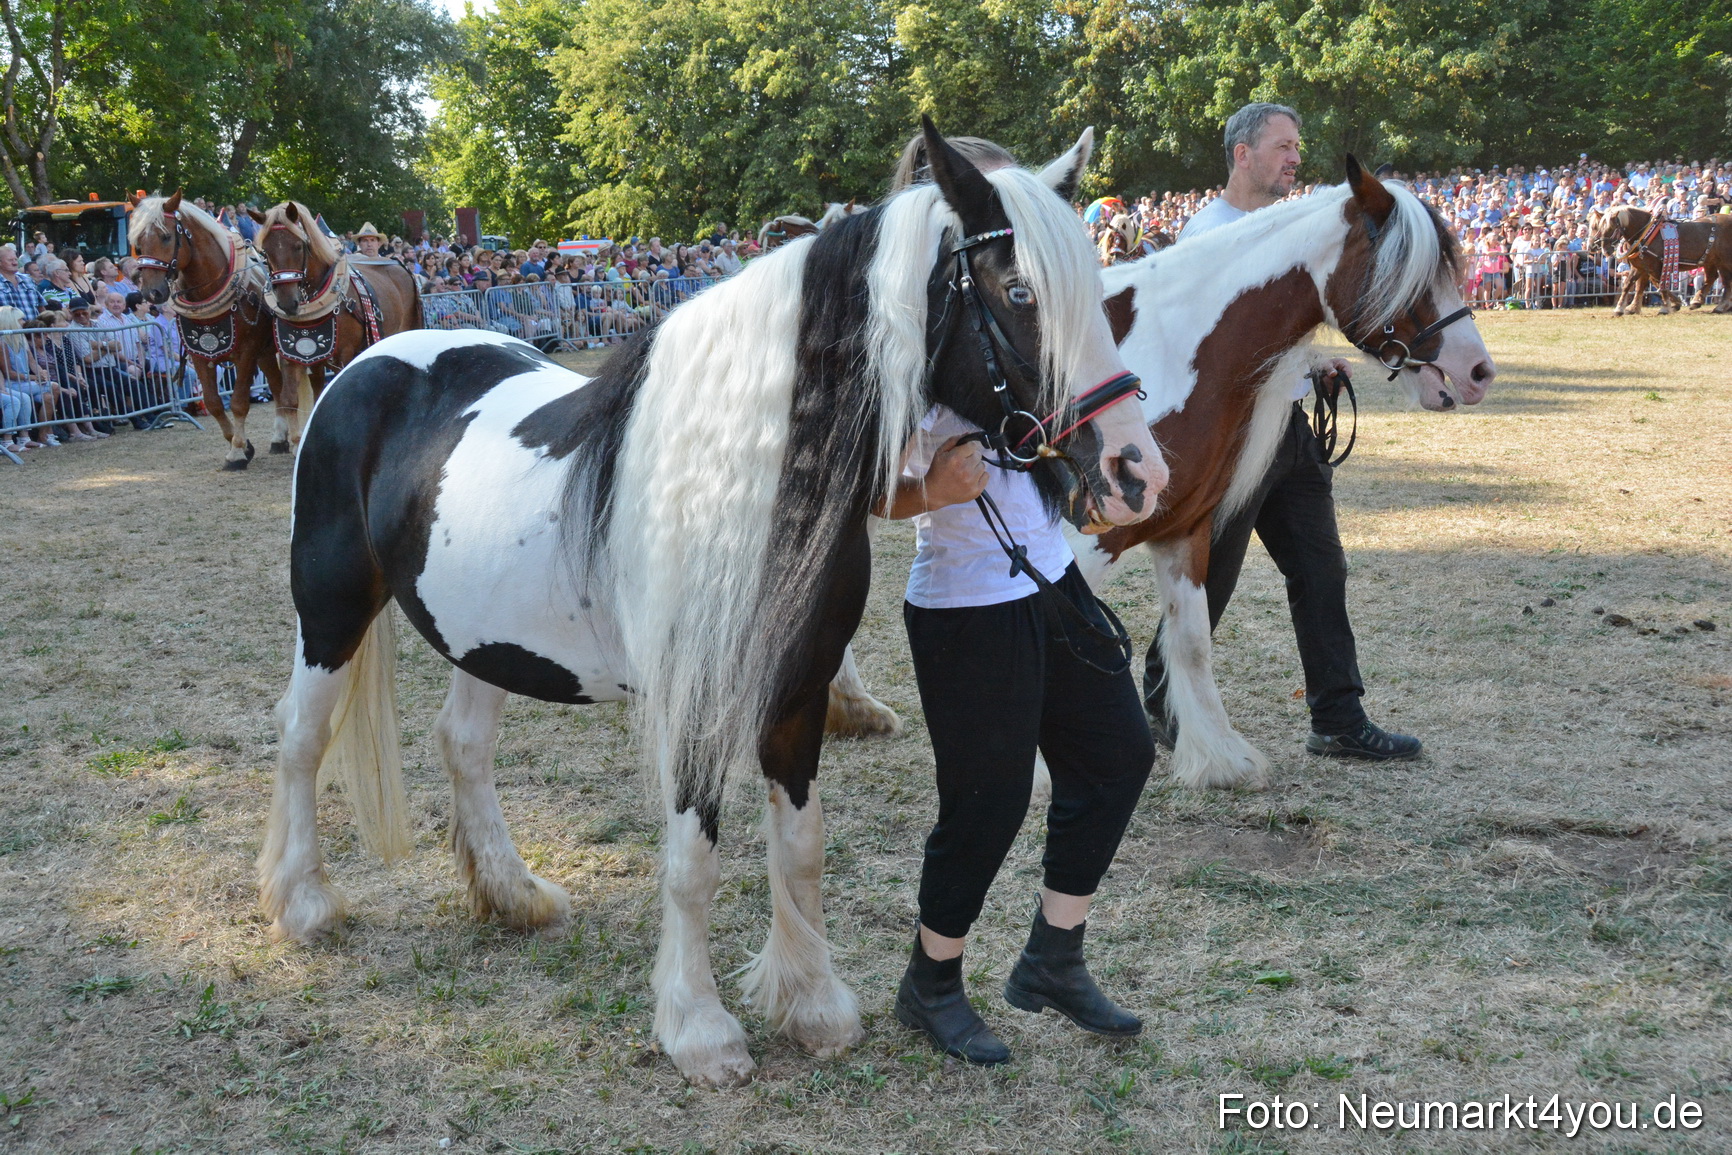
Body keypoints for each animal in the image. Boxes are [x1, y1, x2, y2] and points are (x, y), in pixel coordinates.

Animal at [129, 193, 291, 470]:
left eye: (166, 236)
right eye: (138, 243)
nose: (152, 292)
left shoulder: (247, 352)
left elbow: (238, 402)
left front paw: (237, 453)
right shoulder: (200, 355)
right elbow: (214, 403)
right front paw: (243, 446)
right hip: (266, 351)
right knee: (276, 384)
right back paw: (279, 438)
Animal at [244, 201, 423, 445]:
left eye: (298, 246)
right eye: (265, 252)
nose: (287, 303)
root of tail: (399, 264)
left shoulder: (345, 354)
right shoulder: (291, 356)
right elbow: (291, 400)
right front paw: (297, 441)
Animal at [831, 158, 1498, 791]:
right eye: (1410, 270)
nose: (1478, 372)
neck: (1175, 346)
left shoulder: (1187, 530)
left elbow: (1193, 641)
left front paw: (1219, 758)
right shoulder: (1079, 540)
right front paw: (1042, 772)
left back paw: (854, 709)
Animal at [1592, 206, 1731, 314]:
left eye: (1611, 228)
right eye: (1598, 227)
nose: (1602, 248)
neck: (1645, 234)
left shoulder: (1654, 266)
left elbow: (1660, 284)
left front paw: (1665, 307)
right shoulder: (1640, 267)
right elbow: (1631, 285)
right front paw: (1624, 308)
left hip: (1724, 262)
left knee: (1726, 282)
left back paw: (1721, 306)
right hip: (1710, 260)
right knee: (1712, 278)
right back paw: (1697, 301)